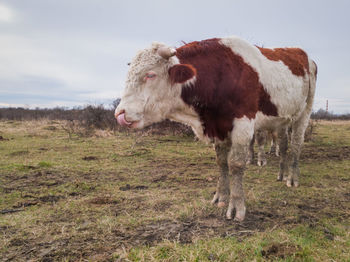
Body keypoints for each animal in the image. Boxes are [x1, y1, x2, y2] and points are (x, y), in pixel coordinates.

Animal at [115, 36, 318, 221]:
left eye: (150, 74)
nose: (120, 114)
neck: (219, 74)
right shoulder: (219, 127)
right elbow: (222, 163)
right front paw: (220, 197)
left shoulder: (243, 125)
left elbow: (235, 164)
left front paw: (237, 206)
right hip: (282, 121)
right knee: (283, 146)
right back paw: (281, 174)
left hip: (304, 114)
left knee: (296, 145)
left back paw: (292, 178)